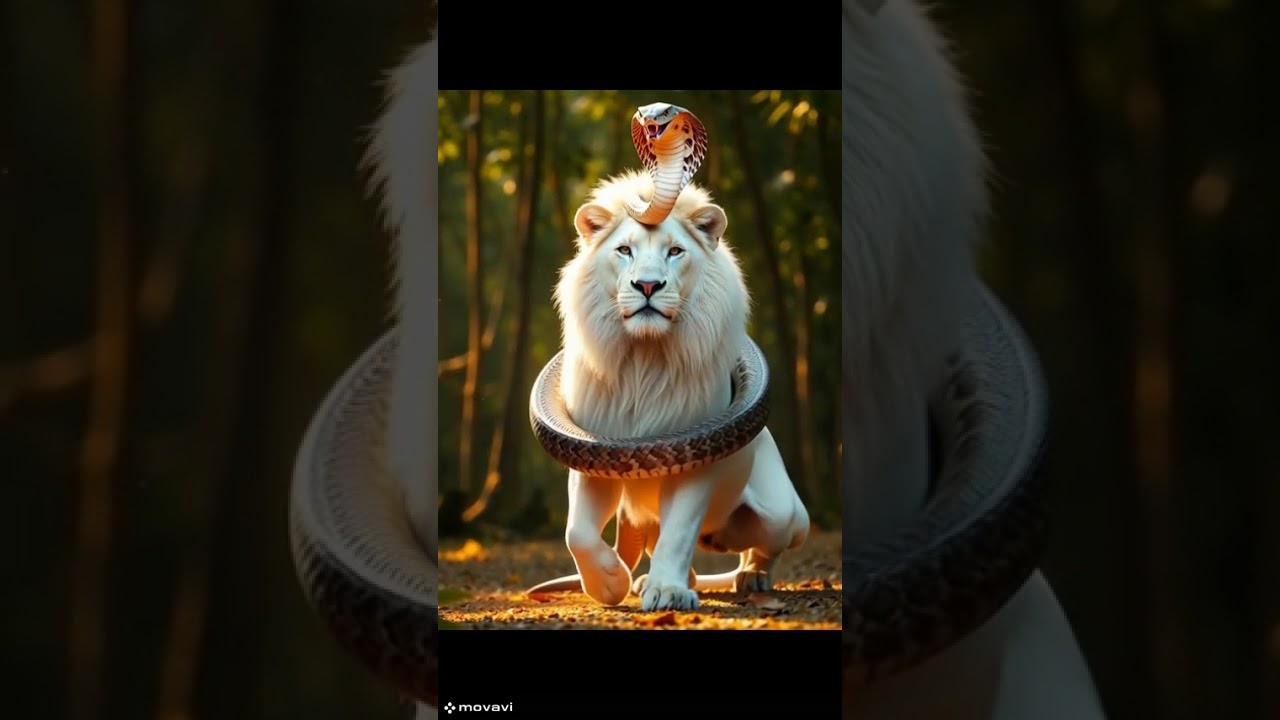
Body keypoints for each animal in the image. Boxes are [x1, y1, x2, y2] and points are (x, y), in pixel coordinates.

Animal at [549, 169, 810, 612]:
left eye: (674, 251)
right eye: (624, 250)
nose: (647, 285)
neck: (643, 362)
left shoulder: (696, 464)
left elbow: (679, 530)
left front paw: (667, 593)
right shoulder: (588, 454)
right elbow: (577, 532)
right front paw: (610, 582)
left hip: (784, 516)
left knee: (761, 548)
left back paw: (751, 578)